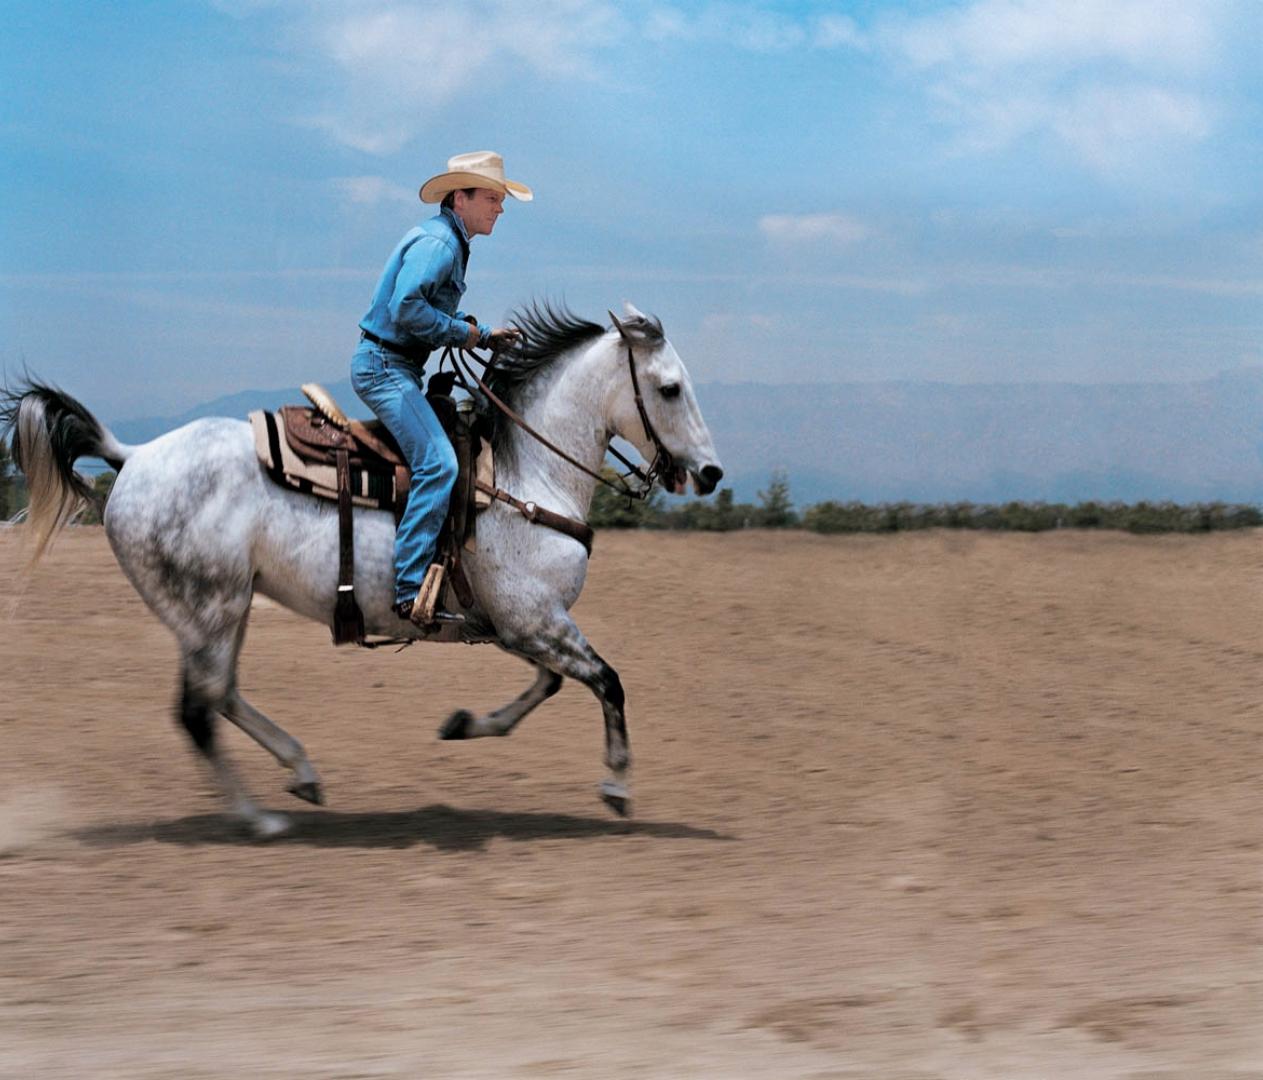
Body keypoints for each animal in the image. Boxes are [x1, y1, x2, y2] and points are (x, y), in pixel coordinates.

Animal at [4, 299, 727, 838]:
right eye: (669, 388)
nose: (711, 473)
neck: (524, 477)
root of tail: (133, 456)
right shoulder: (534, 620)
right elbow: (608, 682)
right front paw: (616, 784)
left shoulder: (515, 625)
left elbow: (549, 684)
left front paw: (464, 724)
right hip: (208, 610)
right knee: (198, 711)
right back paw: (259, 818)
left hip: (223, 611)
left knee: (221, 696)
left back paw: (301, 773)